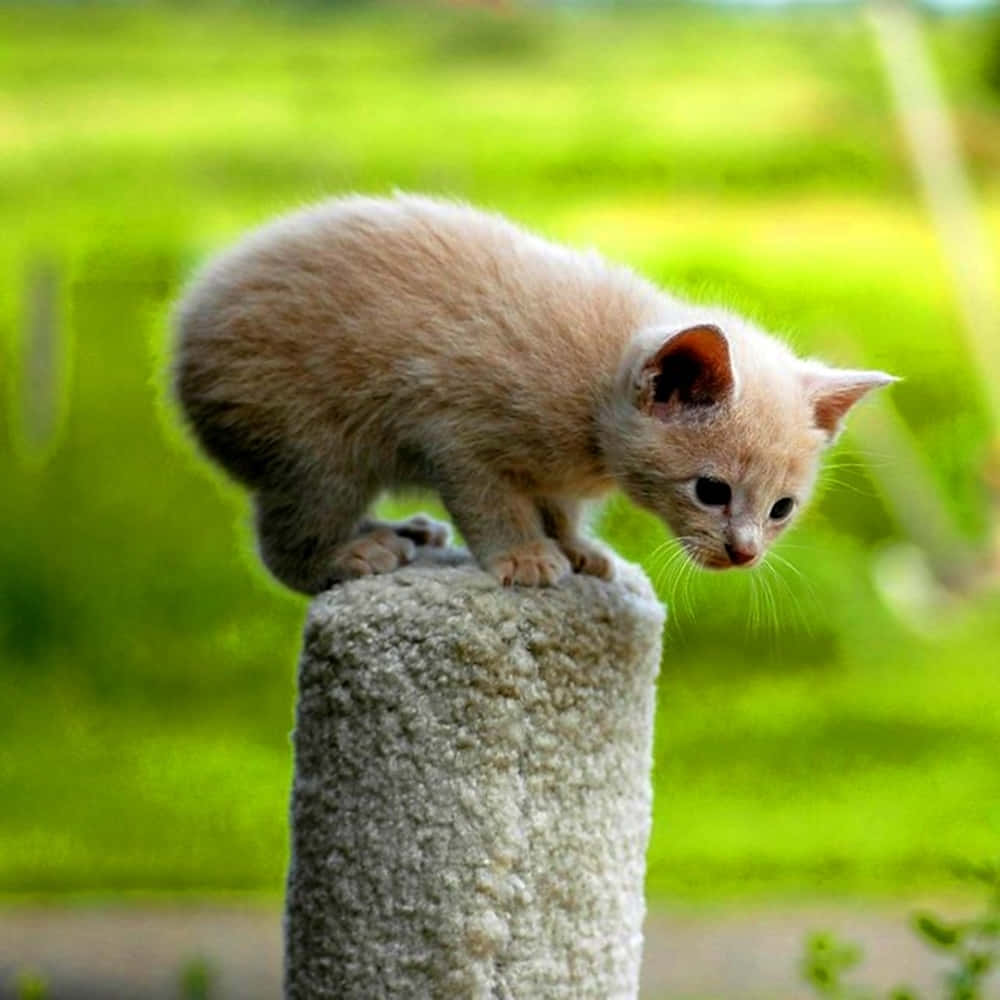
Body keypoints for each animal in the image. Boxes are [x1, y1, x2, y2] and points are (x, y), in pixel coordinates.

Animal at [170, 193, 892, 592]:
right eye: (710, 492)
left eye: (782, 509)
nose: (744, 554)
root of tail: (185, 330)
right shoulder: (455, 429)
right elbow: (493, 502)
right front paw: (525, 556)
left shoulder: (556, 472)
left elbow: (560, 505)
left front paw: (576, 547)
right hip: (315, 443)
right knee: (286, 538)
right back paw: (353, 552)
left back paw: (403, 529)